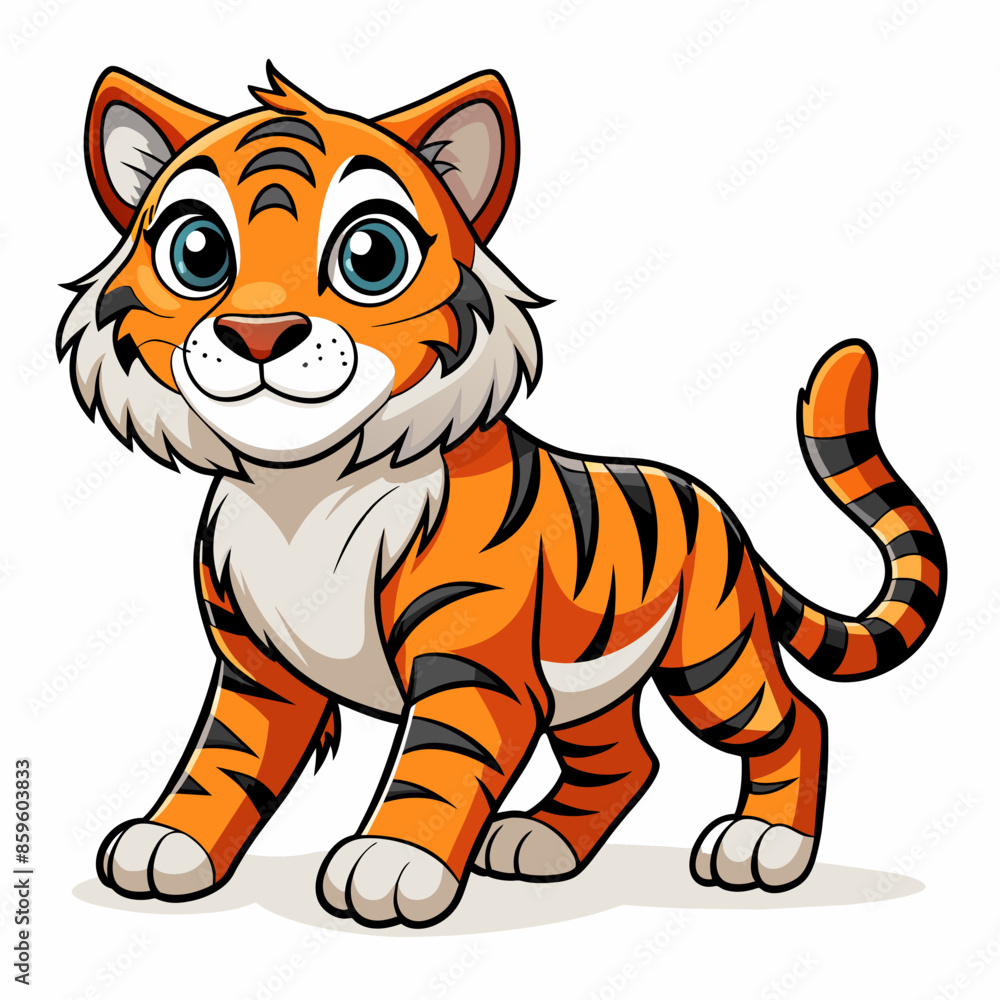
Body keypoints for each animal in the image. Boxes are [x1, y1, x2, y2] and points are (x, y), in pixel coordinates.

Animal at [58, 64, 946, 928]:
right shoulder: (258, 669)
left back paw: (763, 847)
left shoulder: (474, 662)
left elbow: (439, 763)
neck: (301, 487)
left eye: (370, 256)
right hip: (592, 689)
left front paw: (392, 864)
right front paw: (170, 844)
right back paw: (541, 842)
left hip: (711, 657)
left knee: (795, 721)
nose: (261, 335)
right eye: (199, 251)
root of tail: (725, 514)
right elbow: (222, 761)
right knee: (630, 759)